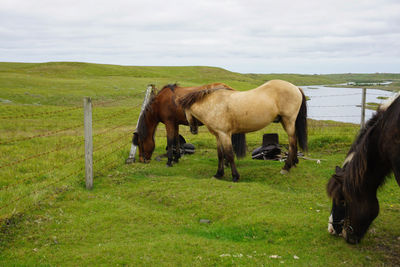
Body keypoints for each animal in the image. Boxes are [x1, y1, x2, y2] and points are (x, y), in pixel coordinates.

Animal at [180, 79, 308, 182]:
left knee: (292, 143)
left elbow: (229, 154)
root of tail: (296, 87)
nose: (193, 130)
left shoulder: (224, 134)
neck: (213, 104)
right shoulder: (218, 135)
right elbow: (220, 155)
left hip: (288, 121)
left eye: (185, 112)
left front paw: (235, 176)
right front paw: (218, 174)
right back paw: (292, 164)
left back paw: (286, 168)